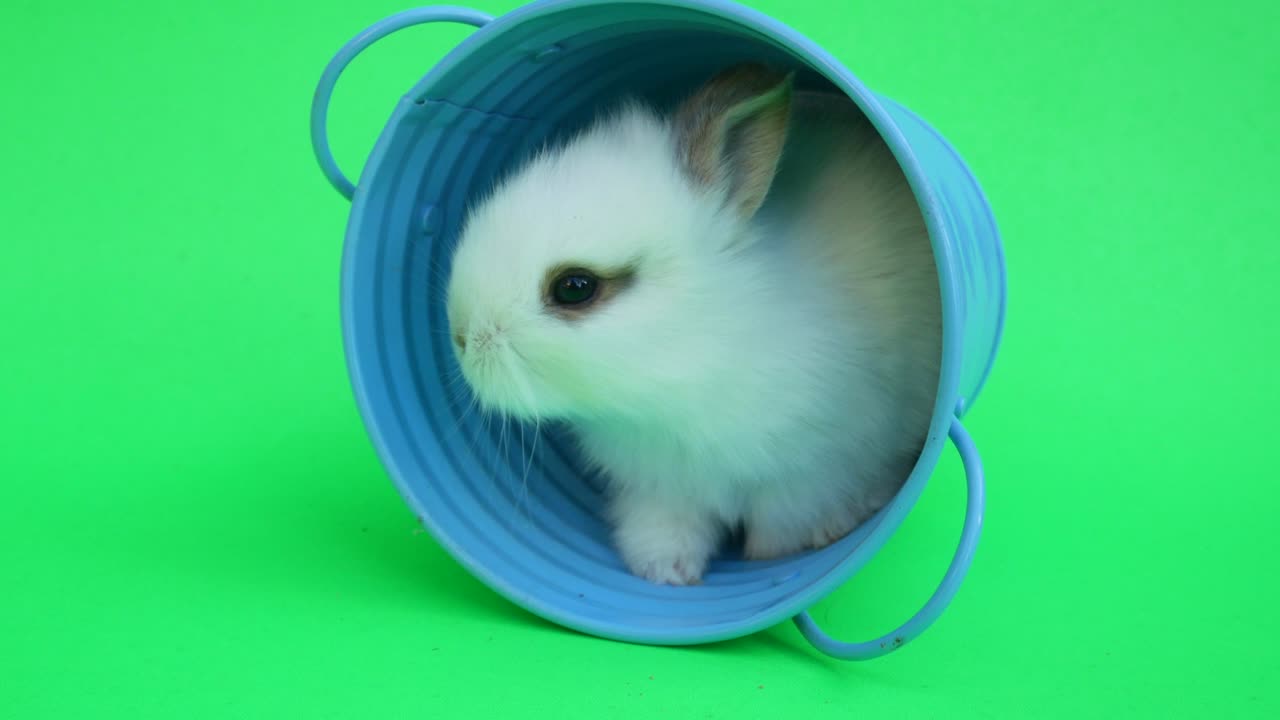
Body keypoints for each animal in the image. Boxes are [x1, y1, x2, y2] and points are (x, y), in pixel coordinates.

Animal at [445, 63, 941, 585]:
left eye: (575, 288)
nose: (461, 337)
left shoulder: (818, 470)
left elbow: (786, 520)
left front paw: (774, 555)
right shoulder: (659, 487)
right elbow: (663, 529)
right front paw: (666, 573)